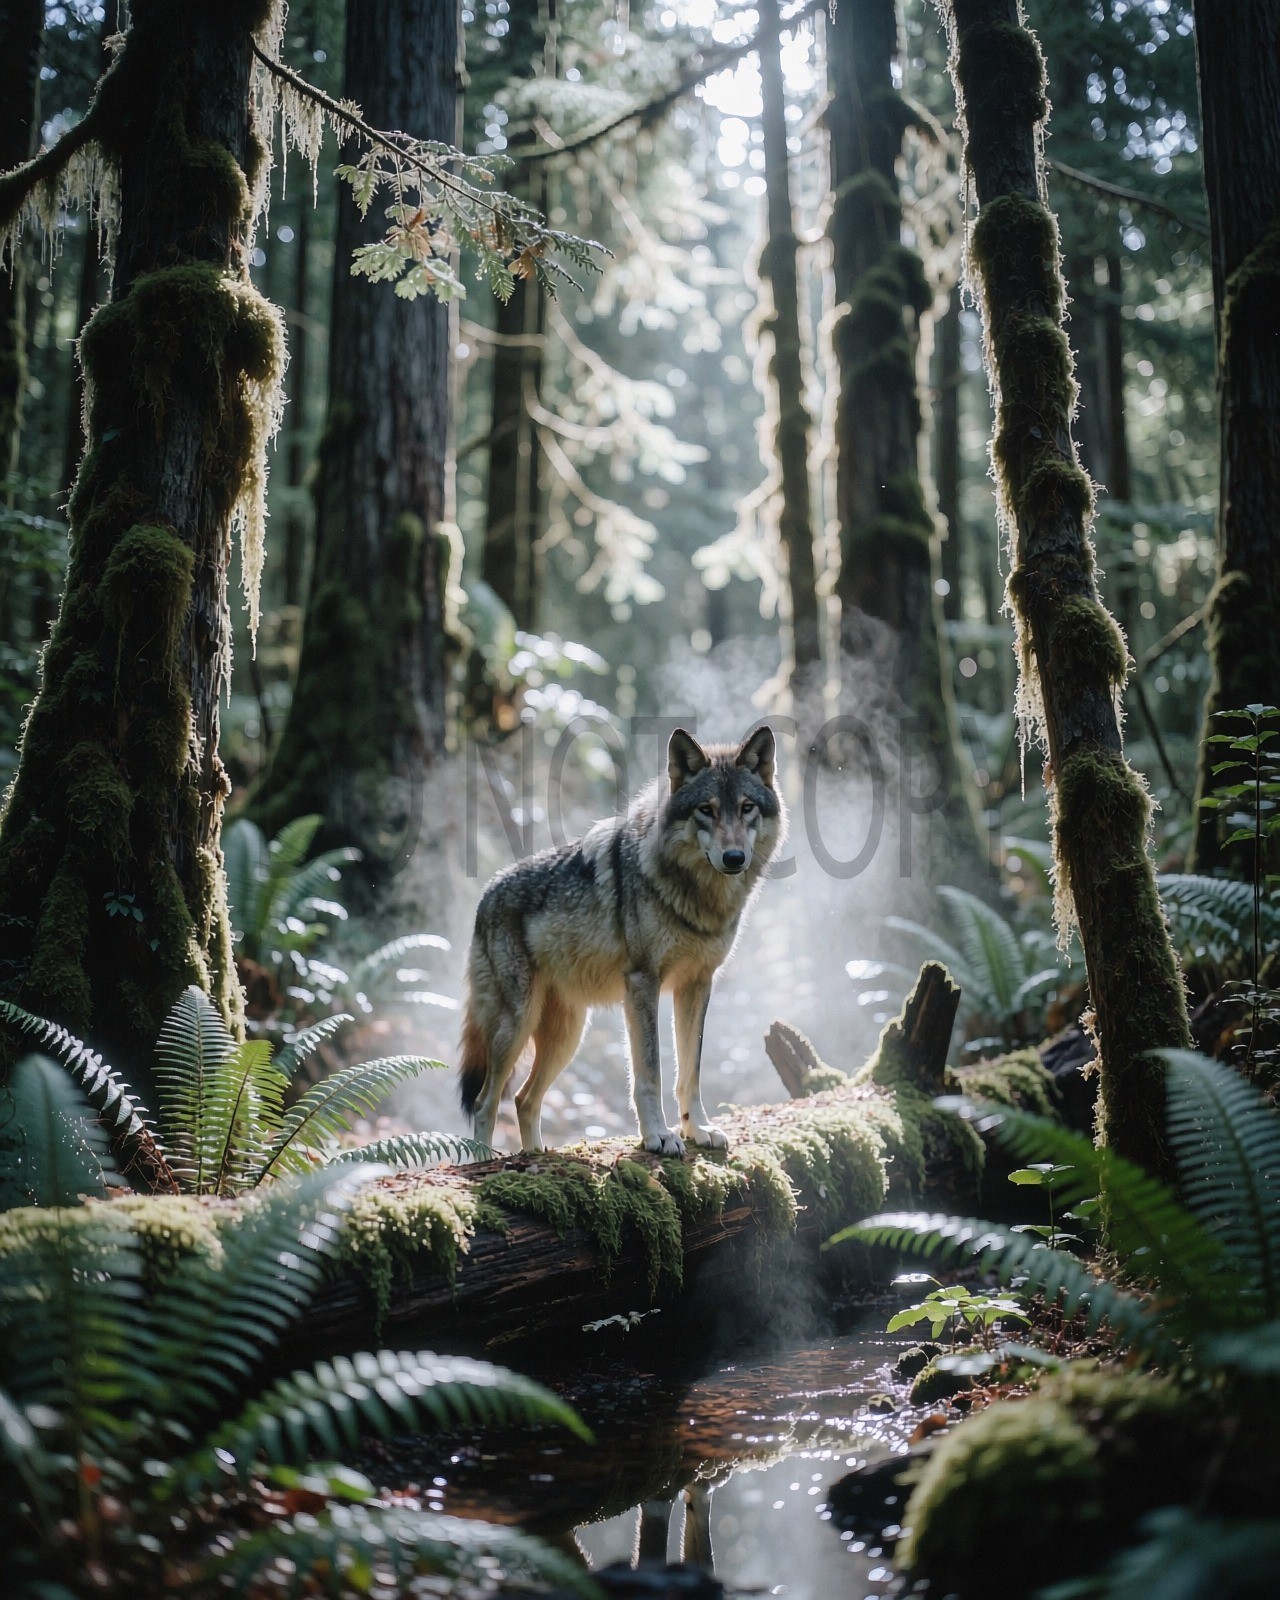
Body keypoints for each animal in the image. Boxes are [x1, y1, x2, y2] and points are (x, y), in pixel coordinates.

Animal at [458, 726, 785, 1157]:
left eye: (747, 807)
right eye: (707, 809)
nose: (734, 858)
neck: (696, 896)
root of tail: (484, 894)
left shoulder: (697, 984)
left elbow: (690, 1071)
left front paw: (697, 1129)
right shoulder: (643, 983)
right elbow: (651, 1071)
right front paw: (658, 1135)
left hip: (568, 1036)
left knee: (524, 1099)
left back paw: (535, 1154)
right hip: (517, 1024)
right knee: (485, 1102)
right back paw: (483, 1162)